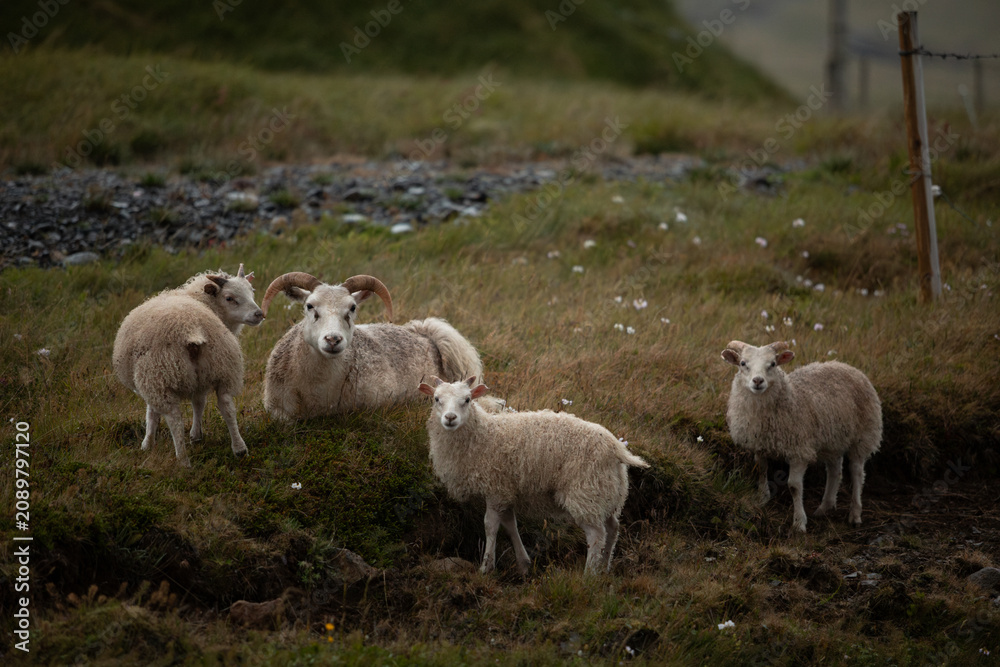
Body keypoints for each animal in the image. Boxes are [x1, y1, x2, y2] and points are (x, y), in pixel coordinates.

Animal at [112, 264, 264, 467]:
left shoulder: (148, 380)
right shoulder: (201, 379)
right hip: (222, 366)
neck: (201, 300)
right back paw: (239, 449)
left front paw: (147, 444)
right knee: (227, 407)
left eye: (251, 291)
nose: (259, 314)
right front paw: (196, 436)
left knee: (174, 419)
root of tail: (191, 329)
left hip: (159, 375)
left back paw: (183, 460)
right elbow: (199, 404)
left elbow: (151, 413)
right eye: (229, 298)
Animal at [418, 376, 650, 575]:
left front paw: (486, 567)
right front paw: (523, 563)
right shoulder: (507, 491)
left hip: (585, 491)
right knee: (613, 529)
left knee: (596, 535)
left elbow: (490, 526)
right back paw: (604, 568)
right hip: (607, 491)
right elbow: (510, 525)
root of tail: (616, 448)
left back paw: (589, 575)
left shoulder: (495, 488)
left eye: (467, 400)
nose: (450, 418)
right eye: (436, 399)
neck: (483, 435)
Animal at [721, 340, 882, 533]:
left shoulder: (798, 450)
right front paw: (762, 498)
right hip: (833, 439)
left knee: (857, 472)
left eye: (773, 364)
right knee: (835, 471)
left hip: (863, 435)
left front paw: (799, 523)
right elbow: (761, 469)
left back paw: (855, 514)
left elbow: (794, 486)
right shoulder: (759, 444)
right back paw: (824, 507)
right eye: (743, 363)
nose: (758, 381)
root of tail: (845, 365)